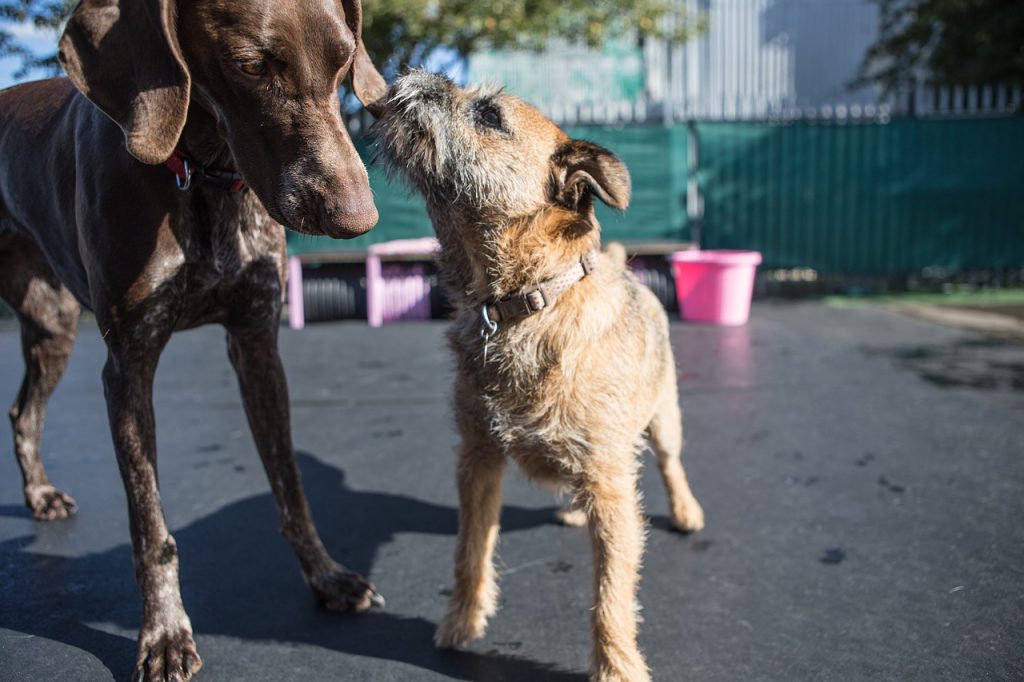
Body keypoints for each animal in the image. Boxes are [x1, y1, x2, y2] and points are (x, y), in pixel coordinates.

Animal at [0, 2, 387, 675]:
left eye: (345, 62)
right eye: (251, 66)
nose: (359, 221)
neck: (201, 174)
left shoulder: (257, 346)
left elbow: (292, 489)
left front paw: (327, 576)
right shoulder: (127, 367)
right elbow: (150, 527)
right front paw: (163, 634)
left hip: (52, 326)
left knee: (24, 412)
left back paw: (40, 493)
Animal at [374, 71, 704, 675]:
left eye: (488, 115)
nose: (417, 74)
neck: (524, 306)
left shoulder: (611, 486)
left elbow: (611, 591)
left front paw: (617, 666)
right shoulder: (478, 460)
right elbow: (470, 549)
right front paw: (462, 621)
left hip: (664, 417)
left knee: (672, 463)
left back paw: (687, 509)